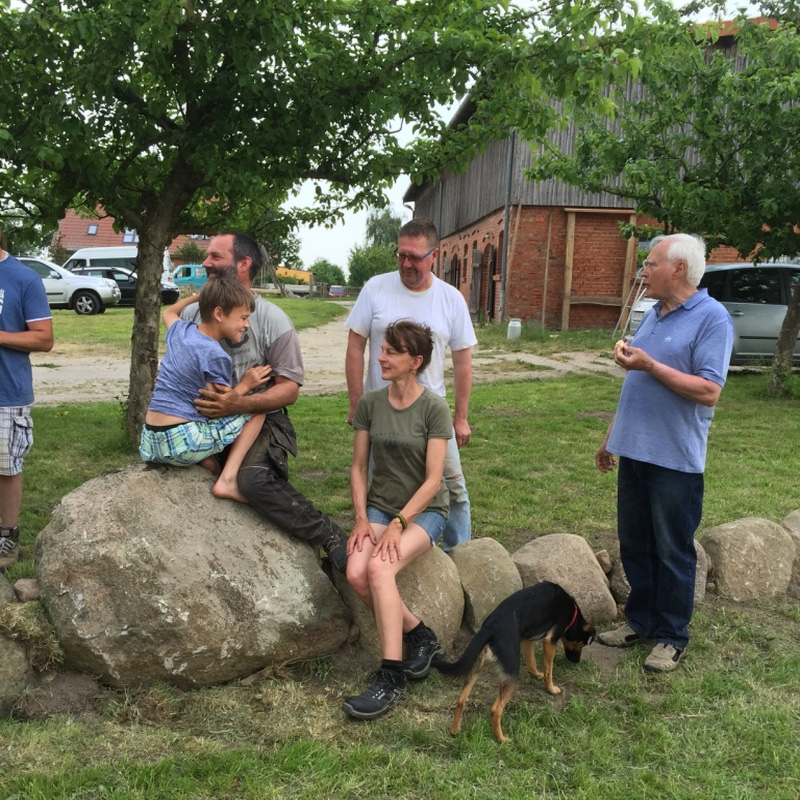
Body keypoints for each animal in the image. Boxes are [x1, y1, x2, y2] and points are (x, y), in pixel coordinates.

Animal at [432, 580, 592, 744]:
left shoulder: (527, 640)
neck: (572, 610)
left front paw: (536, 675)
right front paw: (551, 689)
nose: (576, 661)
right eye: (582, 645)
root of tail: (490, 628)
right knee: (496, 710)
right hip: (511, 674)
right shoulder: (550, 641)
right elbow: (549, 670)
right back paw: (502, 739)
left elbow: (532, 663)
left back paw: (455, 730)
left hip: (475, 668)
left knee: (460, 701)